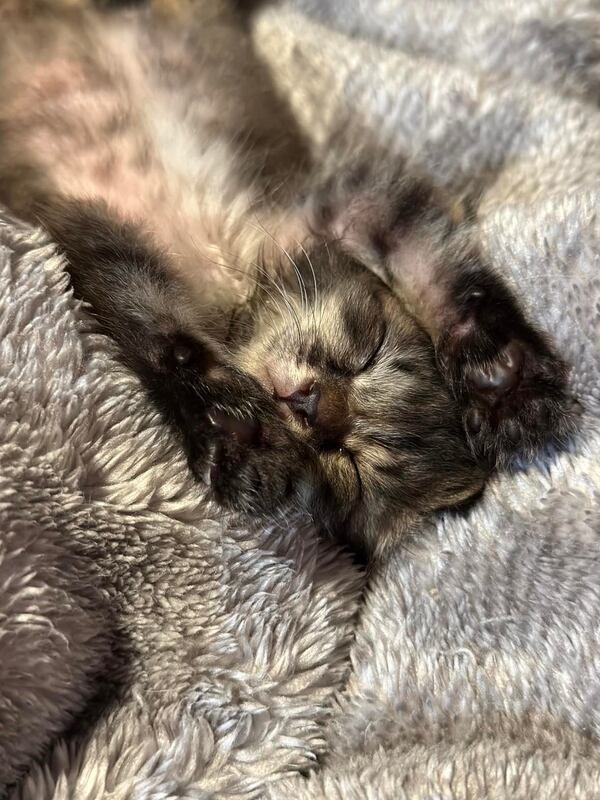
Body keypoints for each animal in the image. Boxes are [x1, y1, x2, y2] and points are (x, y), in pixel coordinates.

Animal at [0, 0, 572, 556]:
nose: (310, 403)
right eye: (371, 350)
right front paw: (504, 373)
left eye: (345, 462)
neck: (229, 291)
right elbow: (439, 266)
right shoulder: (343, 201)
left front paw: (233, 432)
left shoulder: (87, 224)